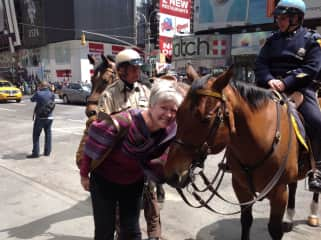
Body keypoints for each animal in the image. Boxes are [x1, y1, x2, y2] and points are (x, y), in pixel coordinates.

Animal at [162, 67, 318, 240]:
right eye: (178, 114)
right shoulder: (240, 187)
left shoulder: (279, 192)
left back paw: (313, 213)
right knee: (294, 185)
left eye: (205, 119)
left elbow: (274, 229)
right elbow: (246, 221)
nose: (171, 175)